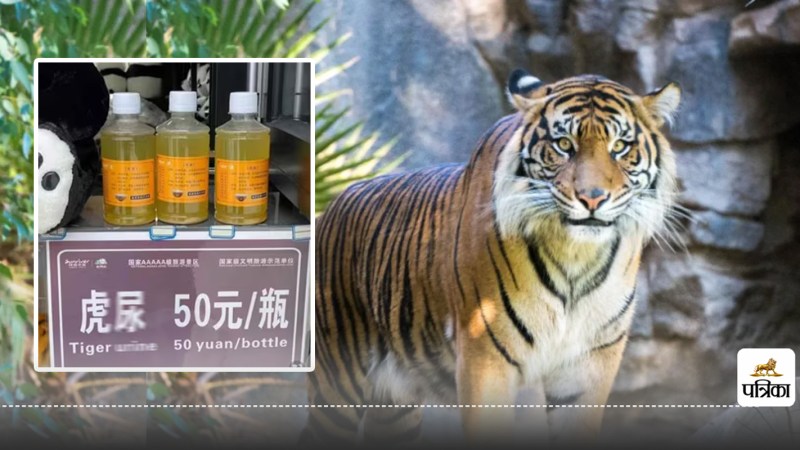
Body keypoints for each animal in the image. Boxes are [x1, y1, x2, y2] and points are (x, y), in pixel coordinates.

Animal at [305, 69, 682, 444]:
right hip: (337, 383)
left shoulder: (591, 363)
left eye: (619, 147)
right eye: (563, 145)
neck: (577, 256)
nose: (592, 198)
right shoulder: (484, 354)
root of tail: (334, 204)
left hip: (396, 404)